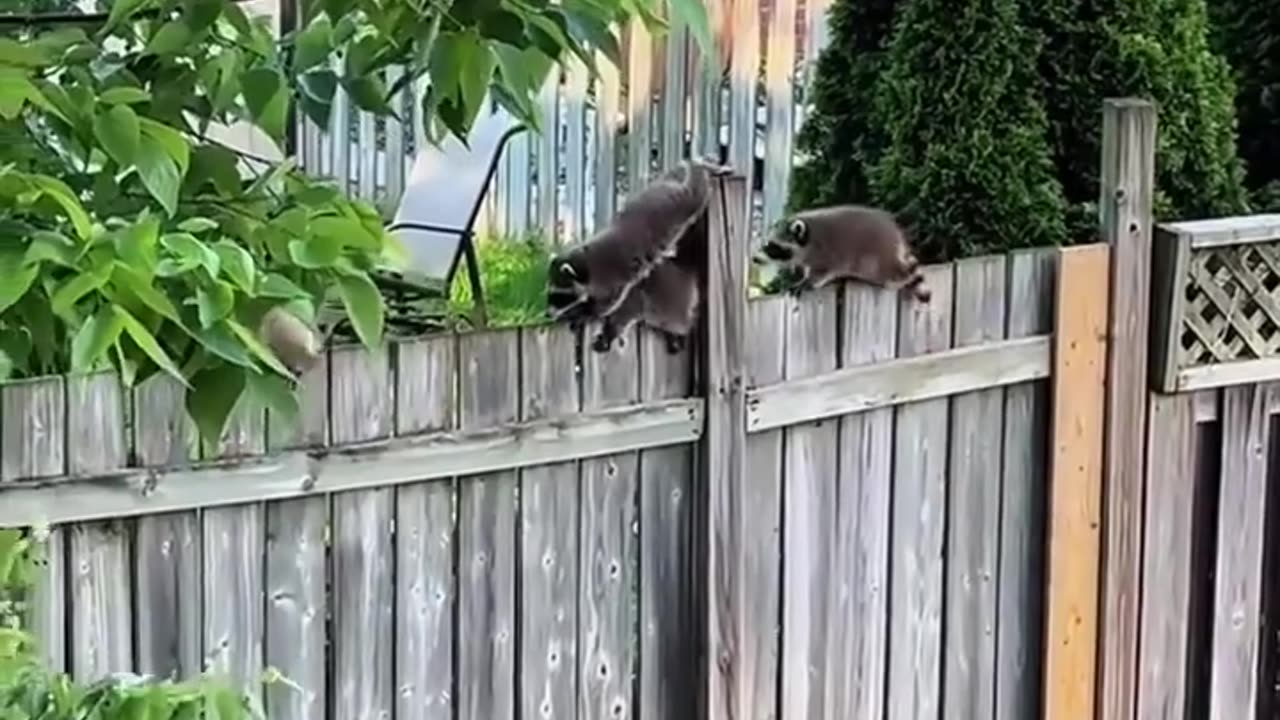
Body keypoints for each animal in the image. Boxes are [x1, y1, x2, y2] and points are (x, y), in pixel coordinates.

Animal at [546, 155, 732, 323]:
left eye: (561, 295)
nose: (548, 314)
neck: (586, 261)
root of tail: (665, 186)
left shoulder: (609, 280)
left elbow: (605, 306)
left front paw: (584, 312)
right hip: (663, 185)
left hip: (684, 201)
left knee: (696, 187)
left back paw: (700, 165)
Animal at [755, 204, 931, 302]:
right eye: (767, 245)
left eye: (772, 247)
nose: (755, 259)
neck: (808, 238)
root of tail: (898, 237)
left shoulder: (825, 254)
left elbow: (820, 273)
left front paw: (805, 282)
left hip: (878, 258)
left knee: (892, 272)